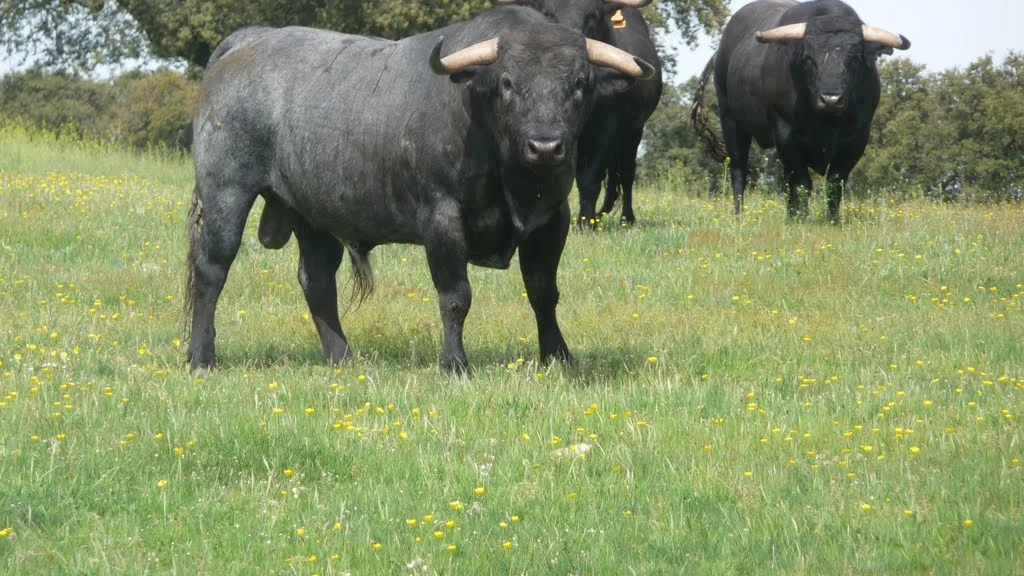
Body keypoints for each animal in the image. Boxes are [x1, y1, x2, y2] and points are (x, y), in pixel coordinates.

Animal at [182, 6, 655, 375]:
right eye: (506, 82)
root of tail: (249, 41)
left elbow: (544, 292)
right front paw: (454, 364)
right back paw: (202, 358)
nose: (545, 146)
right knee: (211, 269)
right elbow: (455, 296)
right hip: (226, 193)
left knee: (316, 280)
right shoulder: (442, 219)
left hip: (312, 212)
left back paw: (342, 358)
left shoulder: (552, 220)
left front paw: (558, 356)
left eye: (580, 84)